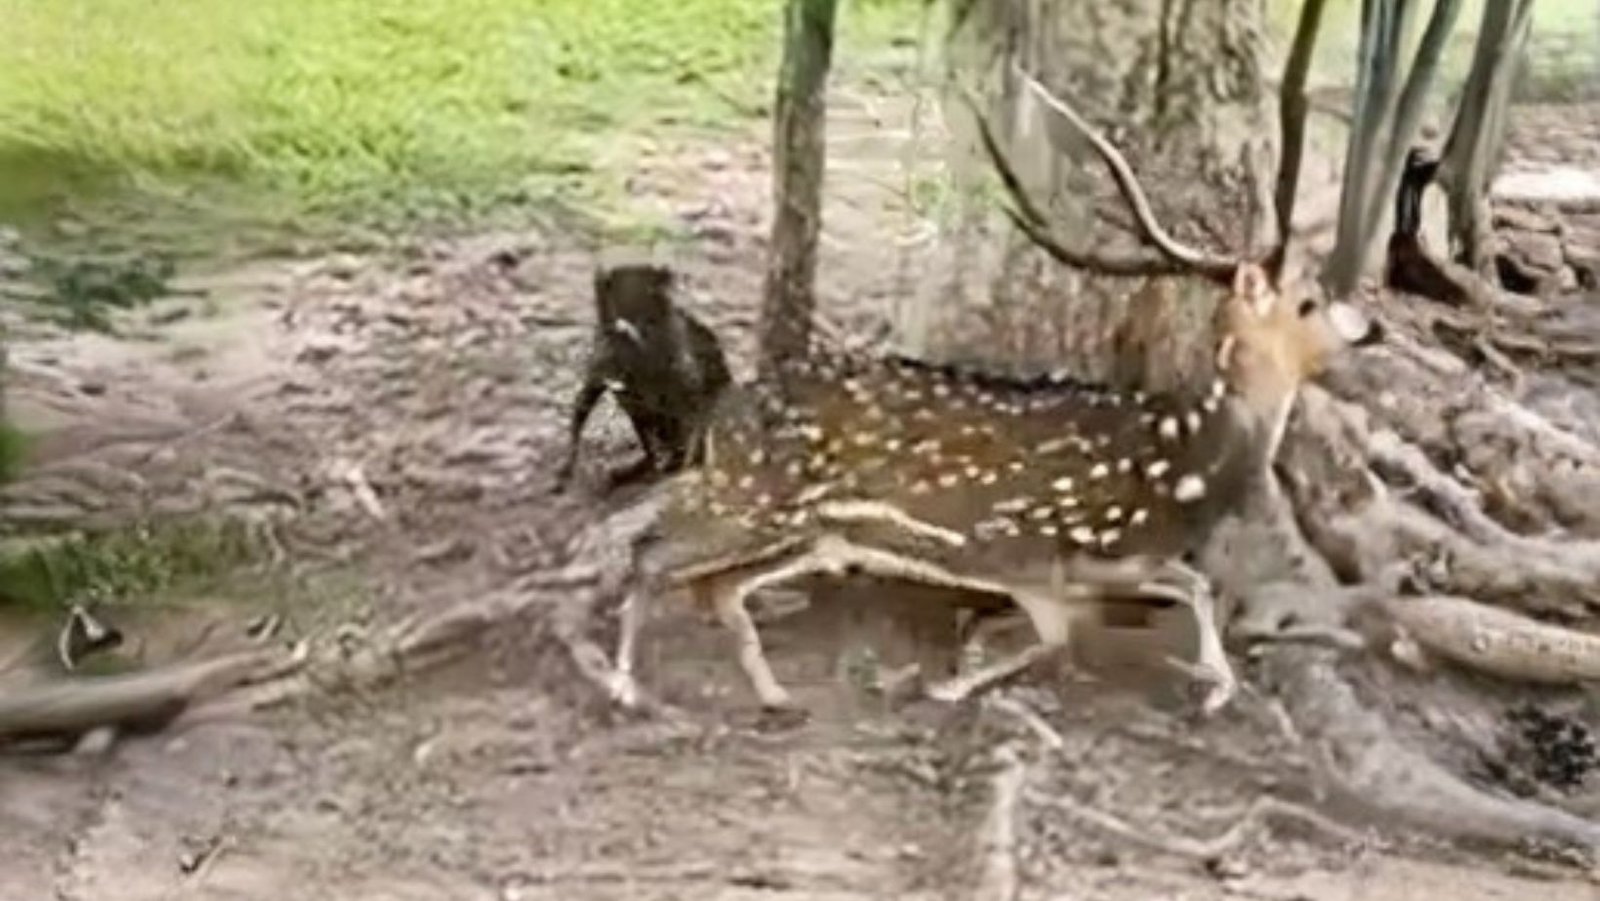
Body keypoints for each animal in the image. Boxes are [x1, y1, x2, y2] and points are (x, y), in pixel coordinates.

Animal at [601, 66, 1381, 718]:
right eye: (1309, 301)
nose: (1369, 327)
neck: (1180, 471)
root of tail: (721, 414)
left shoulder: (1112, 561)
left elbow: (1194, 585)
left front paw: (1218, 686)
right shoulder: (1025, 555)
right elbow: (1057, 639)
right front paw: (947, 683)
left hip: (810, 529)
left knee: (716, 586)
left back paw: (774, 695)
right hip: (757, 497)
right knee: (652, 549)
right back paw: (629, 686)